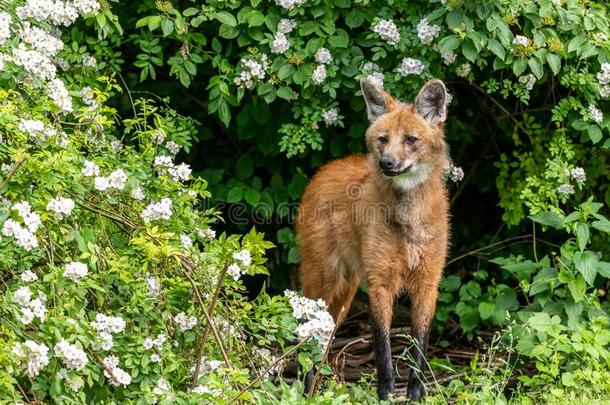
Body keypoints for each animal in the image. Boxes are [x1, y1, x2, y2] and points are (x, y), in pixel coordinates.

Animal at [296, 79, 448, 400]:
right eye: (383, 139)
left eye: (411, 140)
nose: (387, 163)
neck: (408, 221)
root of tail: (324, 169)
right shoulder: (380, 282)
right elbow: (383, 347)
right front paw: (386, 394)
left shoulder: (427, 282)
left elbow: (419, 347)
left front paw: (415, 395)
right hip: (325, 282)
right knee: (304, 336)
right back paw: (305, 391)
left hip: (344, 296)